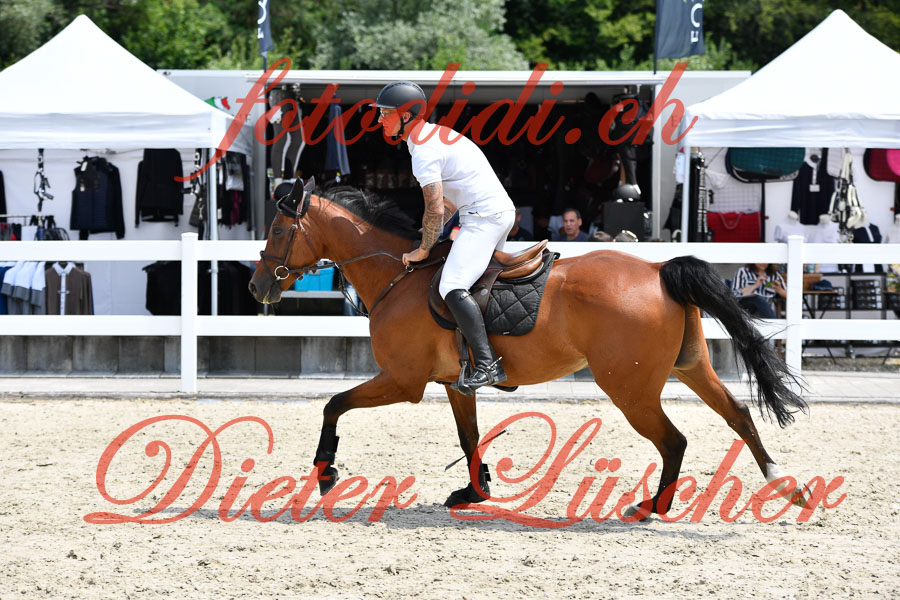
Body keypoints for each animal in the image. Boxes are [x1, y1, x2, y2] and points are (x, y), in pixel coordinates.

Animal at [248, 182, 810, 518]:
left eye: (277, 229)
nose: (257, 287)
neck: (396, 276)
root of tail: (656, 269)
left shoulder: (402, 382)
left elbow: (333, 404)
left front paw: (325, 472)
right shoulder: (455, 384)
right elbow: (469, 436)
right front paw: (473, 491)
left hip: (630, 389)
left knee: (674, 441)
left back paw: (652, 506)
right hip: (690, 367)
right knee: (738, 414)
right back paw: (785, 484)